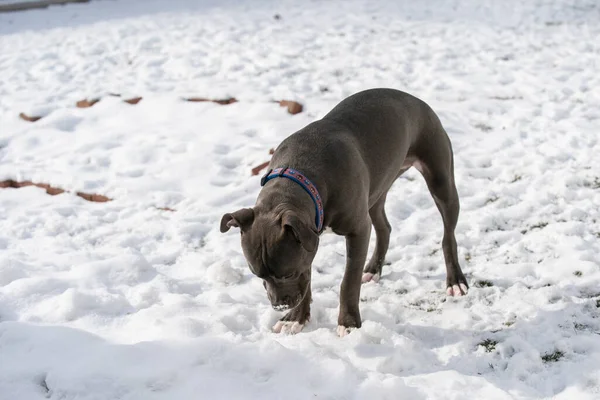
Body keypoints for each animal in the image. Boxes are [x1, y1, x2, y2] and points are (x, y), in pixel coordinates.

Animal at [220, 86, 468, 334]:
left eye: (287, 273)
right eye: (256, 274)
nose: (279, 306)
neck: (299, 176)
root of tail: (415, 99)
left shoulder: (357, 230)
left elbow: (348, 282)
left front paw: (348, 323)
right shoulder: (306, 243)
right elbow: (307, 278)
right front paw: (295, 318)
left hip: (441, 181)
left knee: (448, 236)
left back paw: (455, 281)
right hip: (377, 192)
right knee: (384, 228)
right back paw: (374, 269)